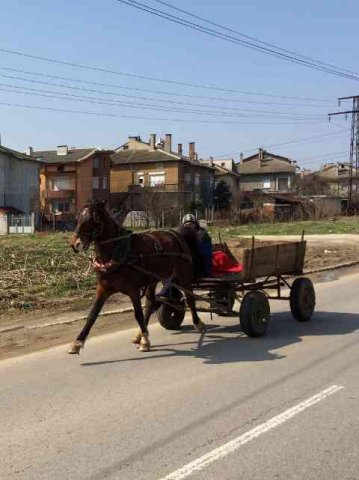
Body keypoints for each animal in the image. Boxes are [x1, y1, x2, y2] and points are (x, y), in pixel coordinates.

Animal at [68, 201, 205, 354]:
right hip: (152, 279)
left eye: (95, 219)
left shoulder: (133, 289)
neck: (117, 251)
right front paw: (78, 342)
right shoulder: (103, 288)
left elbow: (138, 313)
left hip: (183, 274)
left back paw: (198, 323)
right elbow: (92, 314)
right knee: (150, 304)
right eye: (78, 217)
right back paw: (140, 333)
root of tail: (176, 233)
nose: (75, 244)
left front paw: (145, 340)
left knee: (190, 298)